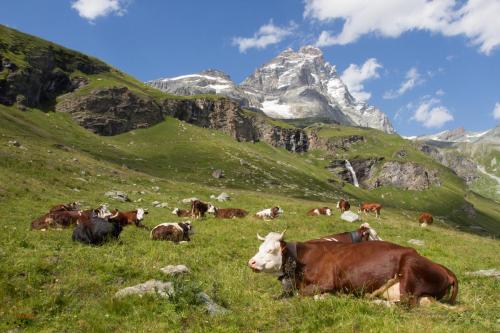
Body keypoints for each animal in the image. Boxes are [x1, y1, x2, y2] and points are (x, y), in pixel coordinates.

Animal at [248, 231, 458, 306]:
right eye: (259, 247)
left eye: (271, 249)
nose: (251, 262)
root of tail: (445, 269)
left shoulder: (326, 282)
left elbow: (304, 294)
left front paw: (327, 297)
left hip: (409, 268)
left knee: (405, 304)